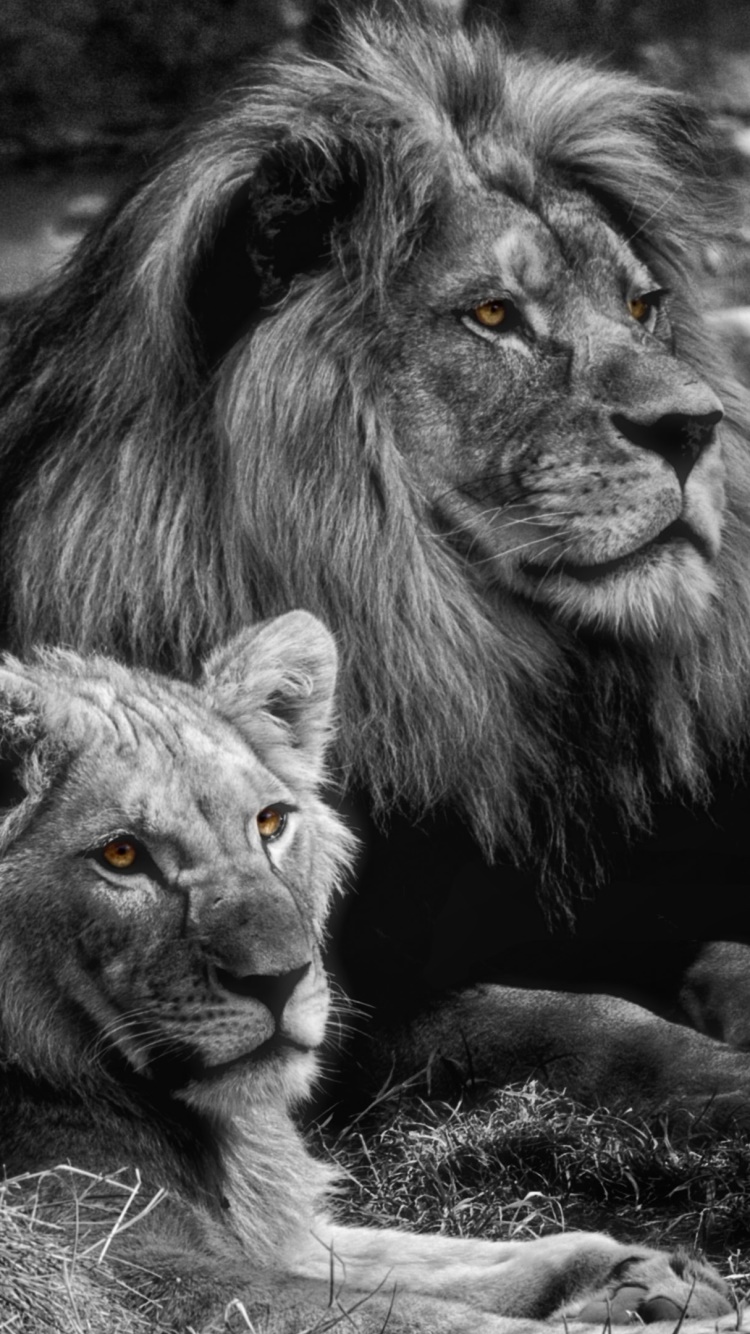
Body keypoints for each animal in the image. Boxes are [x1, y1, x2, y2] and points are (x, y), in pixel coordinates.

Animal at [0, 611, 734, 1332]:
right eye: (122, 855)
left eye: (270, 824)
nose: (282, 979)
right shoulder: (112, 1274)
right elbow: (414, 1316)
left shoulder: (290, 1237)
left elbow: (435, 1262)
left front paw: (644, 1279)